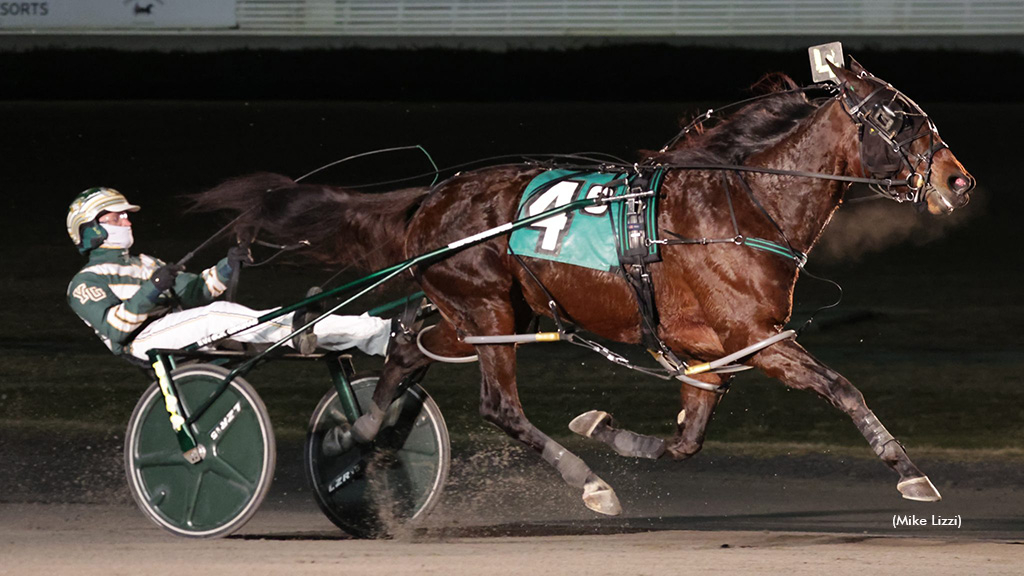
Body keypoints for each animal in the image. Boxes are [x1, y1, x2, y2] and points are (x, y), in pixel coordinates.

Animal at [193, 60, 974, 512]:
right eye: (899, 115)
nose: (958, 179)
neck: (743, 206)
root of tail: (431, 200)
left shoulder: (707, 353)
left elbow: (686, 440)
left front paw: (607, 431)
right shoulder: (758, 338)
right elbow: (842, 387)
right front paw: (908, 471)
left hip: (483, 311)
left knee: (409, 348)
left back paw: (362, 432)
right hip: (485, 310)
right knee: (497, 405)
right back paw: (587, 482)